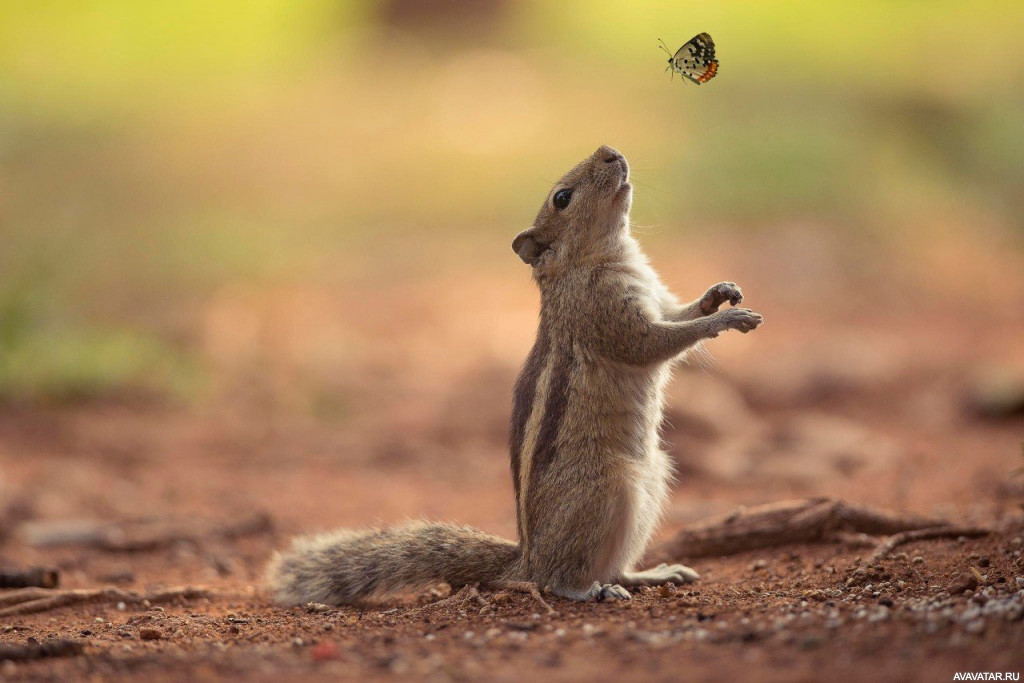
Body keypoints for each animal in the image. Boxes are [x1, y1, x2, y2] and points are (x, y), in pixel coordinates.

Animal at [264, 144, 761, 602]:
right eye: (562, 198)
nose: (609, 151)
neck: (598, 258)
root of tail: (527, 558)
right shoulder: (606, 316)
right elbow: (654, 343)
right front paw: (725, 320)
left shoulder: (656, 298)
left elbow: (679, 314)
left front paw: (719, 294)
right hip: (608, 489)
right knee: (559, 579)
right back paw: (590, 590)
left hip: (654, 479)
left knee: (613, 565)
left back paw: (650, 575)